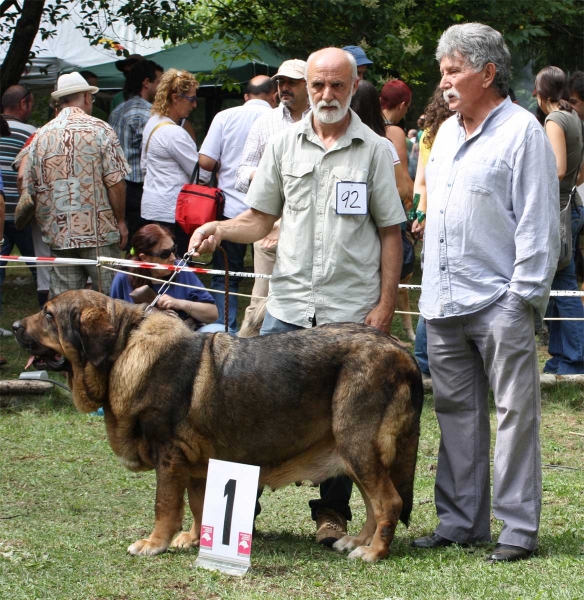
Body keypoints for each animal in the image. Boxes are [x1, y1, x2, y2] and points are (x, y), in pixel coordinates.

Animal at [12, 290, 424, 564]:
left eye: (48, 315)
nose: (14, 326)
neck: (123, 345)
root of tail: (400, 351)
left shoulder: (168, 456)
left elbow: (165, 505)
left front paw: (154, 543)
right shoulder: (195, 463)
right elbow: (198, 504)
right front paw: (196, 538)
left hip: (357, 443)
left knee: (388, 501)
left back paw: (373, 552)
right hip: (355, 452)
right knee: (373, 503)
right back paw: (357, 542)